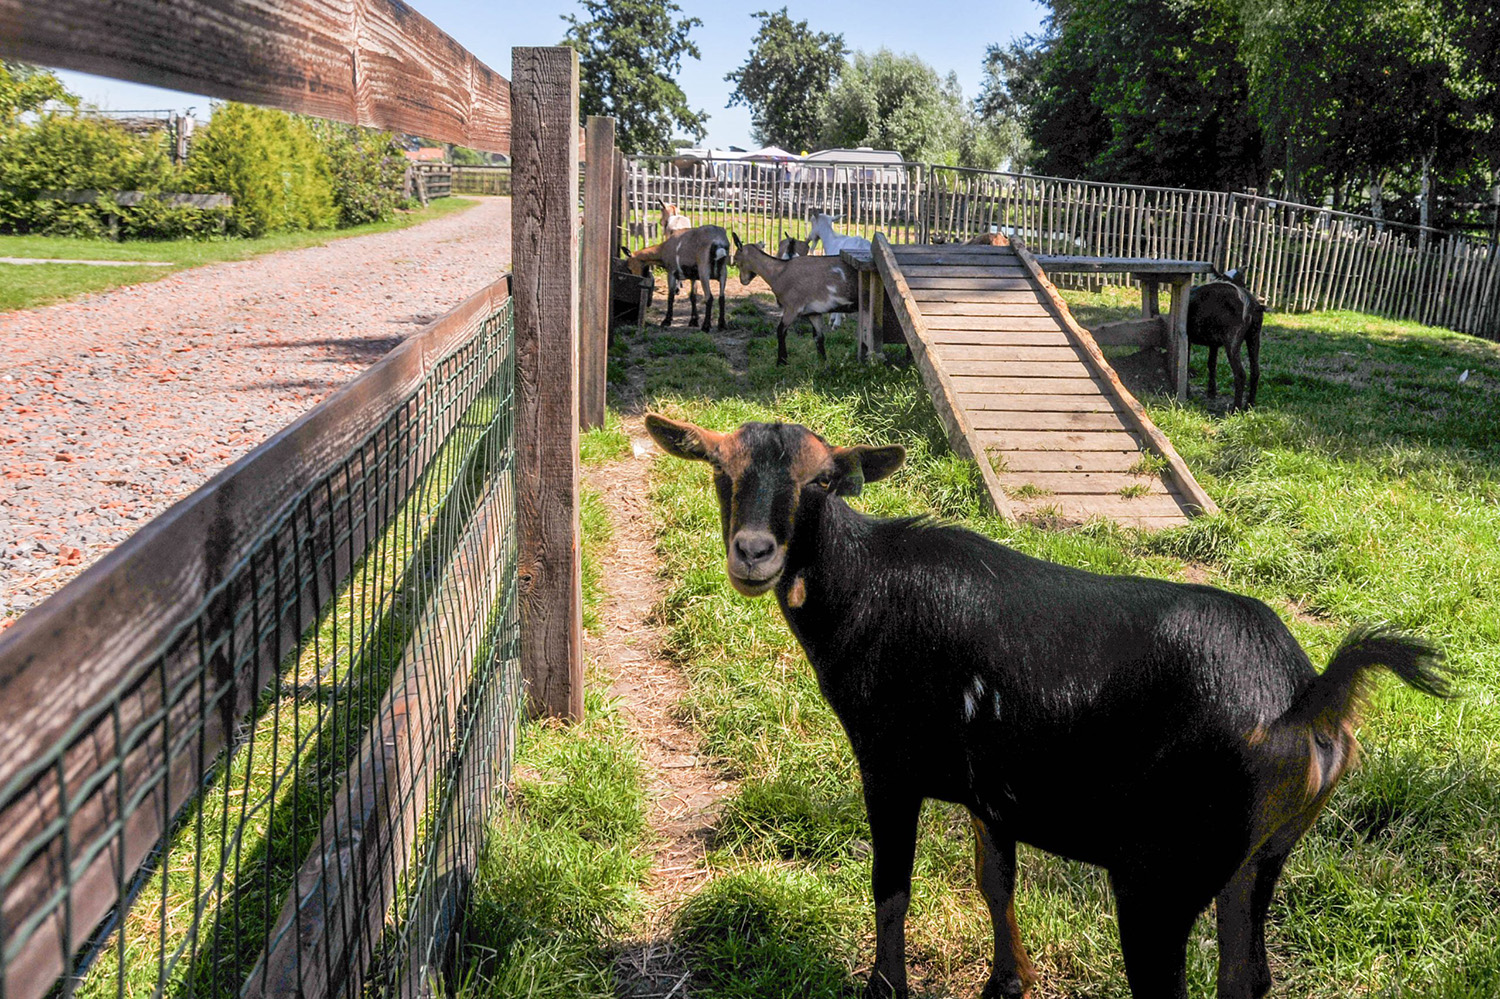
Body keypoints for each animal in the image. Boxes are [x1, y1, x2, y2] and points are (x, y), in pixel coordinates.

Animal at [645, 411, 1452, 996]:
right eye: (720, 471)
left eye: (822, 483)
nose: (753, 553)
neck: (867, 588)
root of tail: (1304, 698)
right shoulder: (992, 787)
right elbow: (994, 880)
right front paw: (1006, 980)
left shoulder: (888, 767)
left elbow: (891, 887)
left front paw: (885, 986)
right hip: (1261, 857)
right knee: (1246, 978)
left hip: (1162, 873)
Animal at [729, 235, 858, 364]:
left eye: (736, 261)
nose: (743, 281)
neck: (780, 272)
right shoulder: (814, 312)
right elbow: (818, 337)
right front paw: (822, 362)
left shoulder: (792, 308)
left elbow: (780, 331)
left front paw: (781, 361)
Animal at [1188, 268, 1260, 408]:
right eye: (1243, 282)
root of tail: (1250, 303)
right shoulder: (1213, 344)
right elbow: (1211, 364)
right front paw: (1211, 392)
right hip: (1254, 337)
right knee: (1255, 371)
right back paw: (1249, 405)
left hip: (1232, 341)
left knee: (1240, 374)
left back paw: (1235, 408)